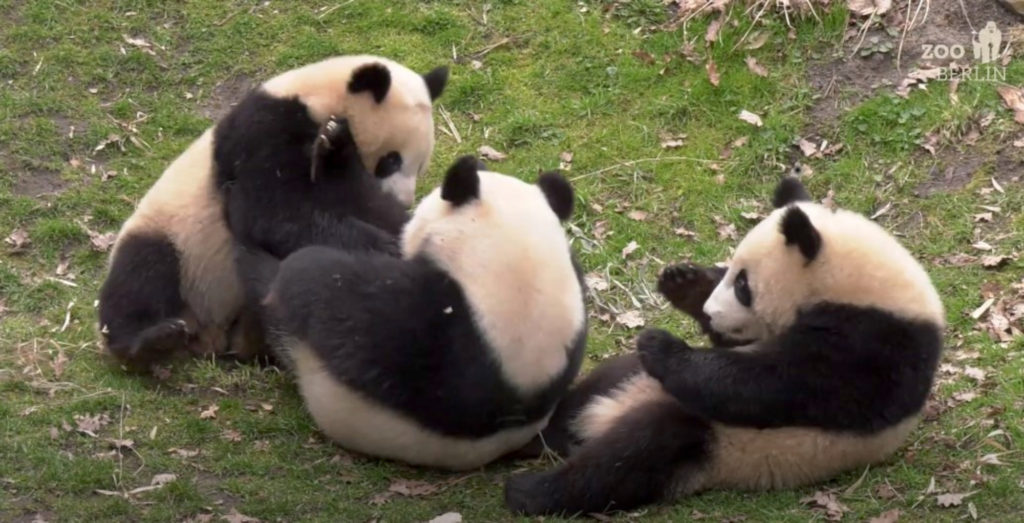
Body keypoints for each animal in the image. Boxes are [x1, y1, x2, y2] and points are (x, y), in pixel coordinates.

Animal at [97, 55, 448, 368]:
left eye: (421, 165)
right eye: (392, 160)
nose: (403, 200)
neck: (316, 97)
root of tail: (207, 337)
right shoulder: (265, 132)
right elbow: (271, 214)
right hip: (173, 240)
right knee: (143, 272)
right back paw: (147, 341)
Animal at [504, 176, 945, 516]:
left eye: (744, 285)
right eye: (731, 272)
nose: (712, 312)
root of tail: (600, 421)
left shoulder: (873, 348)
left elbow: (768, 385)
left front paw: (661, 344)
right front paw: (684, 284)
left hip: (718, 446)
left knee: (633, 455)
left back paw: (530, 491)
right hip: (625, 380)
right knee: (592, 392)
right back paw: (534, 438)